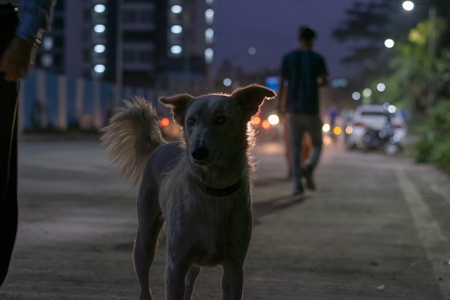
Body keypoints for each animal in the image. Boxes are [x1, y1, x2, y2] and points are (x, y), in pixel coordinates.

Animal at [100, 85, 276, 300]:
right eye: (191, 121)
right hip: (145, 240)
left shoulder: (234, 269)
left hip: (194, 263)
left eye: (221, 119)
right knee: (144, 283)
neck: (214, 189)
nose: (197, 152)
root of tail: (162, 145)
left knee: (189, 285)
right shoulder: (175, 266)